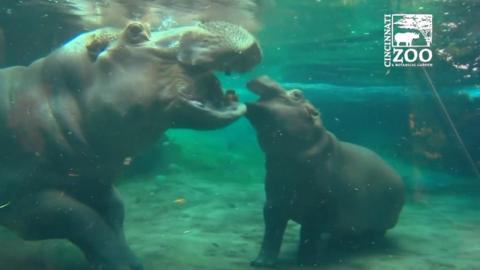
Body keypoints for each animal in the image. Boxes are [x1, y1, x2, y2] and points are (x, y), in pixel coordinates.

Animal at [0, 21, 260, 270]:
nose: (205, 22)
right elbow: (78, 217)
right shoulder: (20, 200)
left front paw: (125, 260)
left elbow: (115, 210)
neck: (46, 98)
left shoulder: (94, 181)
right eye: (135, 30)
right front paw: (123, 263)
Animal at [244, 76, 404, 268]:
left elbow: (308, 236)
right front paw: (260, 263)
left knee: (374, 234)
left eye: (297, 94)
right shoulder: (274, 201)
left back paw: (356, 245)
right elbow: (271, 233)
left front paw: (305, 263)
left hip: (380, 222)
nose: (264, 77)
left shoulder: (317, 209)